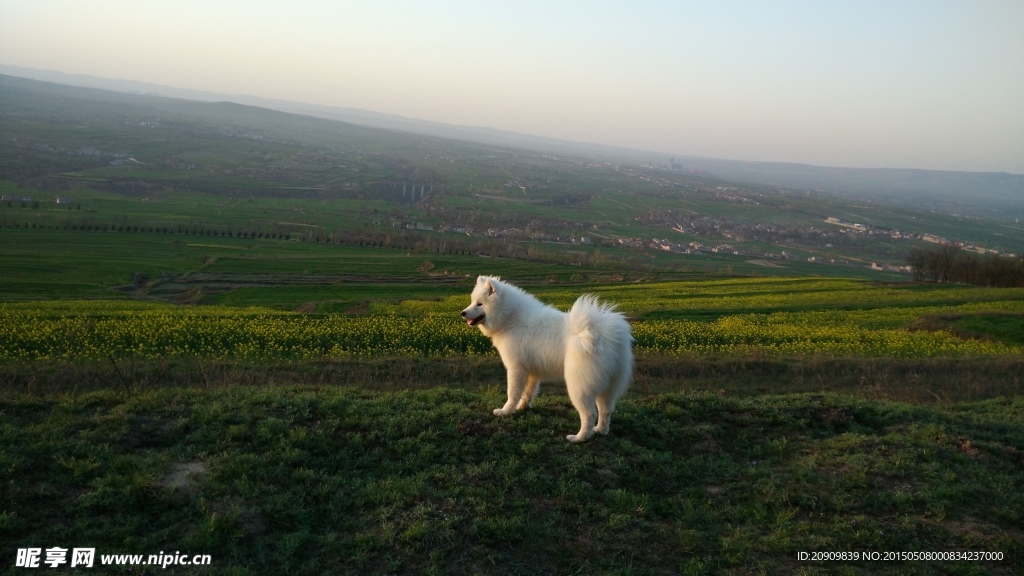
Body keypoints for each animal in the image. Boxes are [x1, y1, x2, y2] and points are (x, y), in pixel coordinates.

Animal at [462, 272, 630, 438]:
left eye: (480, 304)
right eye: (472, 301)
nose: (463, 313)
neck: (510, 317)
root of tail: (603, 334)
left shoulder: (516, 368)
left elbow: (513, 393)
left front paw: (505, 411)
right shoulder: (531, 371)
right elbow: (528, 393)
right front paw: (522, 407)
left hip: (579, 385)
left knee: (590, 414)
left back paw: (579, 438)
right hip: (608, 387)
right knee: (605, 411)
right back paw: (600, 431)